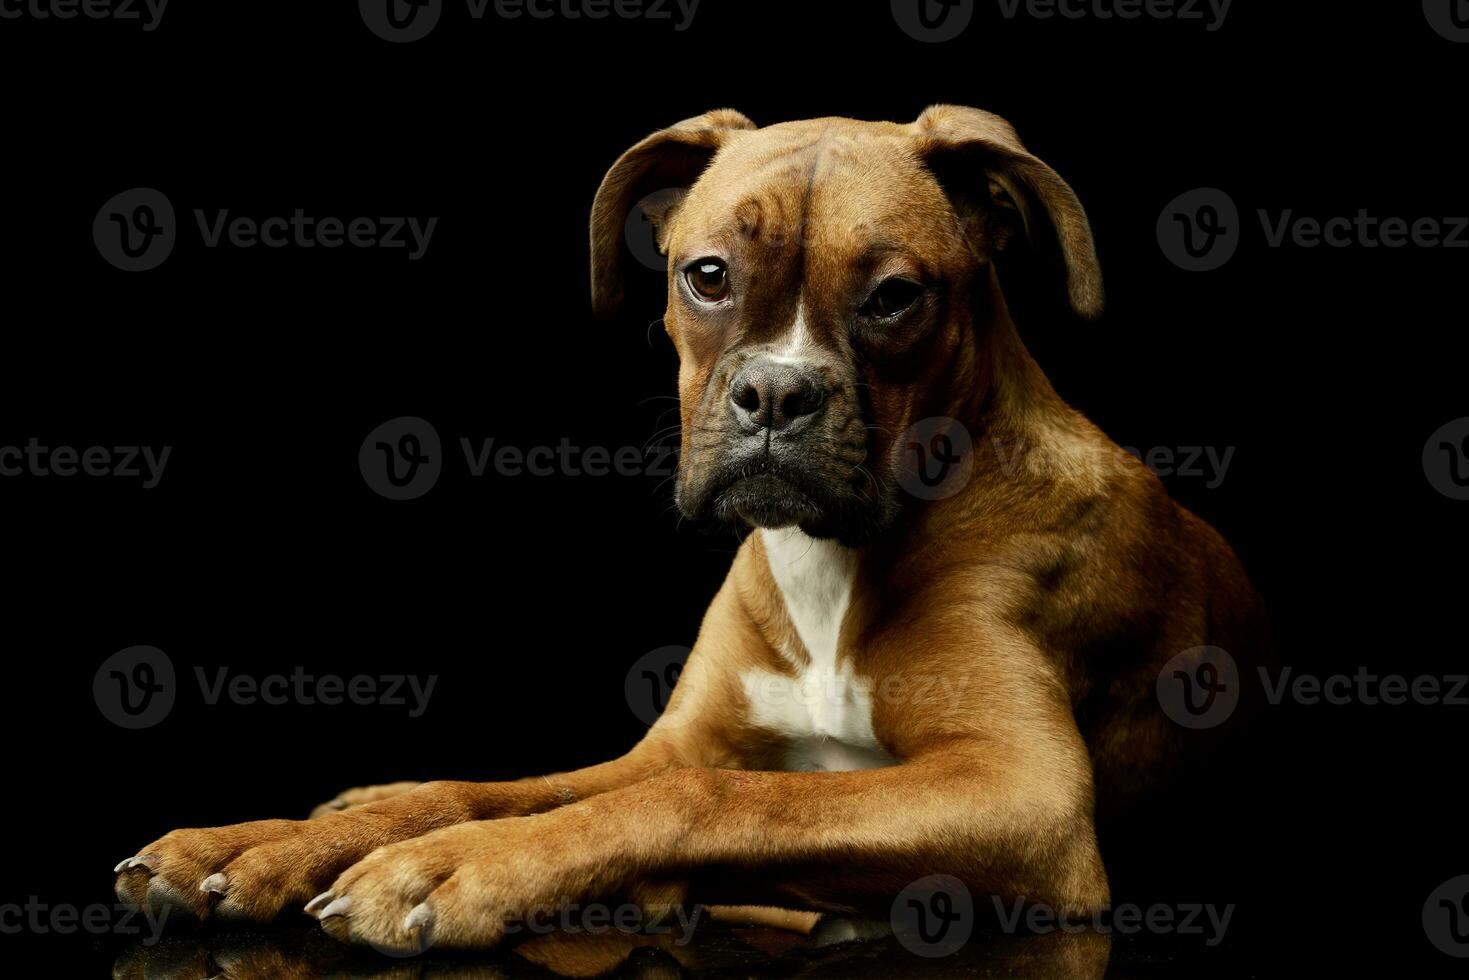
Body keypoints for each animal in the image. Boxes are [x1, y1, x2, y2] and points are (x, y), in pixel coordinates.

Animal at [111, 109, 1263, 957]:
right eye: (705, 275)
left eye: (895, 297)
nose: (775, 394)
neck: (832, 561)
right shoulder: (667, 743)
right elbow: (501, 788)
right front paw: (261, 846)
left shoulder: (1021, 799)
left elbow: (712, 797)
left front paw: (465, 864)